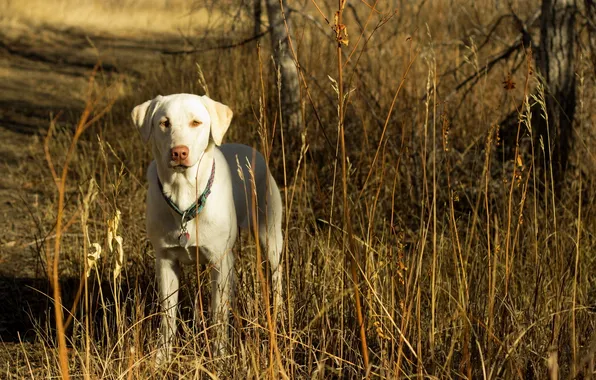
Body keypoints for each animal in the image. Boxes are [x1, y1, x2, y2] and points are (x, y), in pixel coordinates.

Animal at [132, 93, 284, 360]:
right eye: (164, 123)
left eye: (196, 123)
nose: (179, 152)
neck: (183, 197)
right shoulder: (165, 260)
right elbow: (167, 315)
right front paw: (162, 356)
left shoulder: (220, 261)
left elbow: (218, 316)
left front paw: (220, 356)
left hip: (270, 234)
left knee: (276, 276)